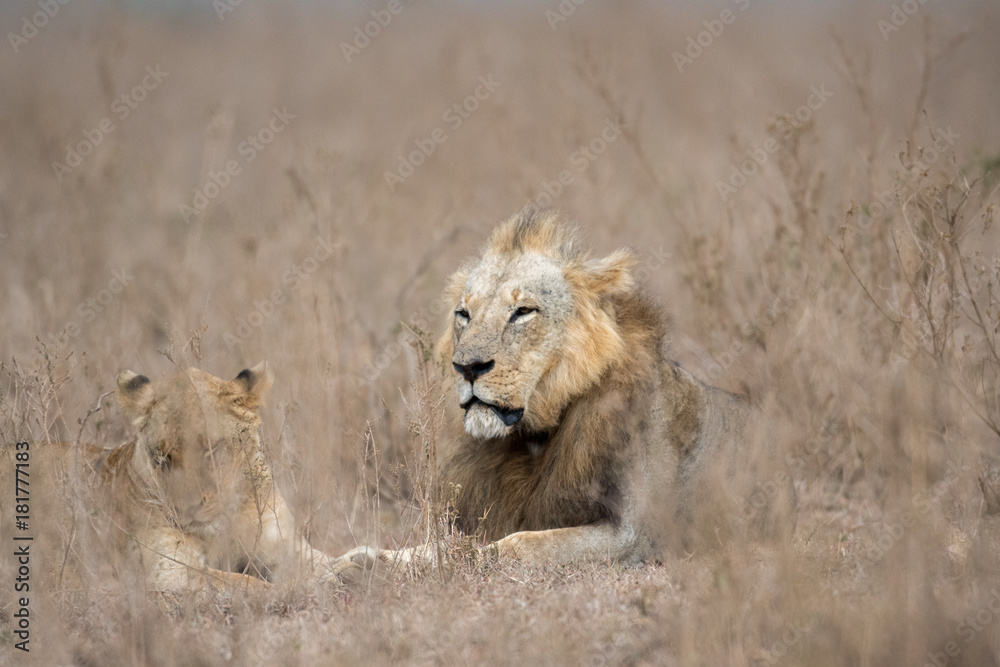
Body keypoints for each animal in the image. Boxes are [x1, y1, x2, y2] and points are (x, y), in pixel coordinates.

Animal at [2, 363, 367, 594]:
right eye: (163, 458)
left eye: (211, 450)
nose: (187, 507)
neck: (226, 518)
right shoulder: (167, 571)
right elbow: (238, 582)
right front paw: (299, 589)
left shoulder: (283, 547)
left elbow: (324, 559)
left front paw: (358, 567)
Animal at [361, 208, 791, 569]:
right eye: (463, 314)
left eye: (522, 312)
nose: (467, 367)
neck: (535, 437)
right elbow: (444, 543)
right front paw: (365, 560)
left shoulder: (634, 536)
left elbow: (518, 544)